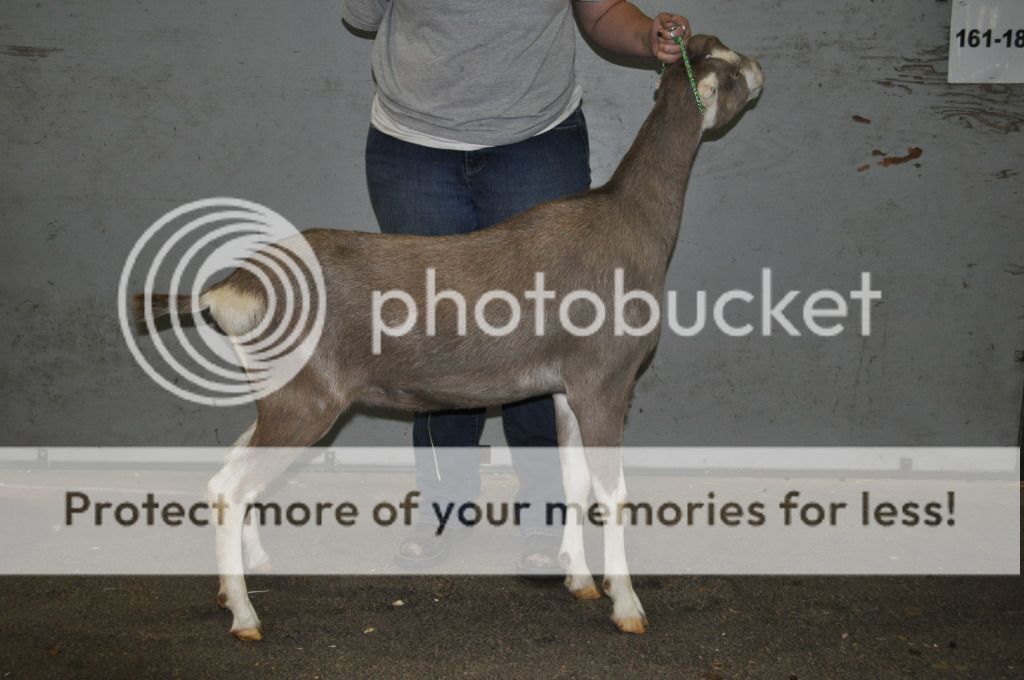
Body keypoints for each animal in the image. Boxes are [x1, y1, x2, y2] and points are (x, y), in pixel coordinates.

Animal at [134, 35, 763, 641]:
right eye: (731, 69)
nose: (759, 69)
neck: (631, 221)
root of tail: (234, 287)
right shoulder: (606, 380)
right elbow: (613, 493)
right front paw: (627, 606)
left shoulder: (566, 390)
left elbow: (575, 480)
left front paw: (580, 580)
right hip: (308, 399)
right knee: (228, 484)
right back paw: (245, 616)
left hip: (277, 393)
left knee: (232, 465)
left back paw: (248, 575)